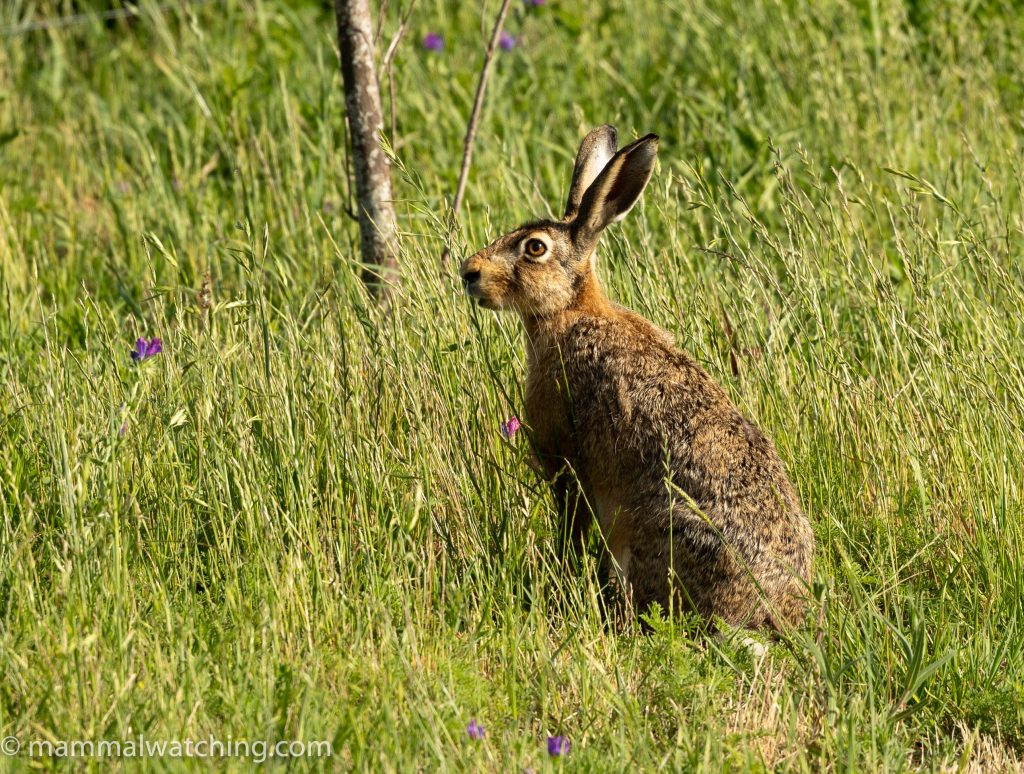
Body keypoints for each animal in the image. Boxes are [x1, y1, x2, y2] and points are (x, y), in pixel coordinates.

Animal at [459, 125, 814, 632]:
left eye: (534, 248)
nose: (469, 273)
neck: (569, 311)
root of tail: (769, 610)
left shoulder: (567, 464)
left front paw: (563, 570)